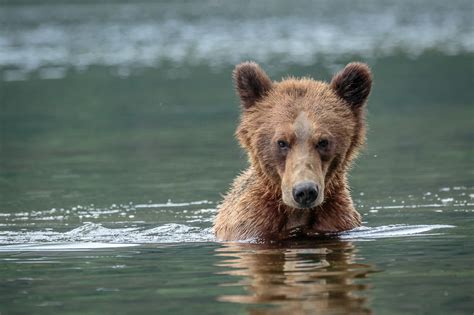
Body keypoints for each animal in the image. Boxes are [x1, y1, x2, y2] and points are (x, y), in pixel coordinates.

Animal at [213, 61, 372, 242]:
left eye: (323, 142)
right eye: (281, 142)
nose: (305, 191)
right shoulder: (252, 226)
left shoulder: (337, 222)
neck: (296, 214)